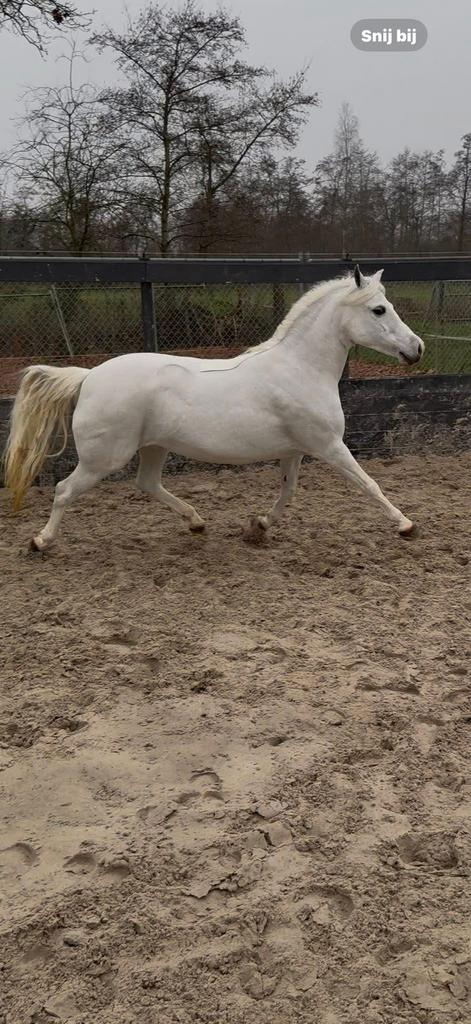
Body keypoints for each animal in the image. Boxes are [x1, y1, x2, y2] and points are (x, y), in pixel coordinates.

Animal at [3, 265, 424, 553]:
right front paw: (406, 525)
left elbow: (288, 491)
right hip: (104, 458)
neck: (300, 368)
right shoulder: (329, 446)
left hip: (153, 447)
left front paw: (259, 526)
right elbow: (369, 484)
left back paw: (196, 523)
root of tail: (90, 376)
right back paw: (40, 541)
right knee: (64, 490)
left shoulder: (295, 451)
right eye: (379, 310)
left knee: (147, 483)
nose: (417, 348)